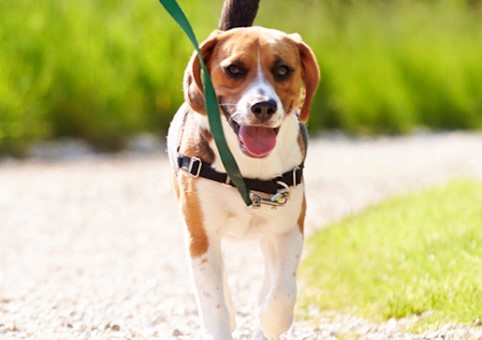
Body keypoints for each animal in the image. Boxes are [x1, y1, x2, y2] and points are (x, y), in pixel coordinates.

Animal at [166, 1, 320, 338]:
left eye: (283, 70)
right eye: (234, 69)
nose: (263, 107)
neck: (248, 170)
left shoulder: (289, 228)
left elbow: (282, 294)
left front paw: (269, 319)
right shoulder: (201, 238)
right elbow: (215, 304)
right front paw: (225, 319)